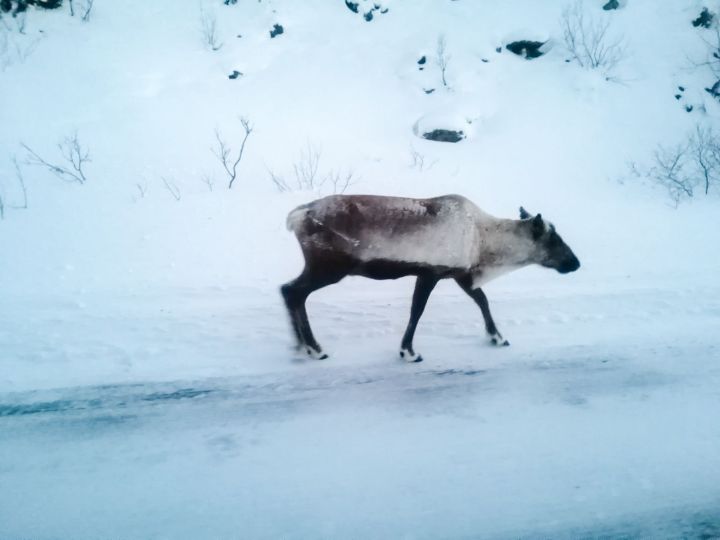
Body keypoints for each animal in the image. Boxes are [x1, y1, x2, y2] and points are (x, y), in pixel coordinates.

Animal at [280, 194, 580, 362]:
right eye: (553, 239)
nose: (575, 263)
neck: (484, 242)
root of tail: (298, 215)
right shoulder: (430, 272)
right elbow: (417, 311)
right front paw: (408, 352)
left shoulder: (460, 274)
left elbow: (482, 300)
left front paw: (497, 337)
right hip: (329, 268)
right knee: (292, 291)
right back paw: (314, 348)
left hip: (323, 268)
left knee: (289, 290)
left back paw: (300, 346)